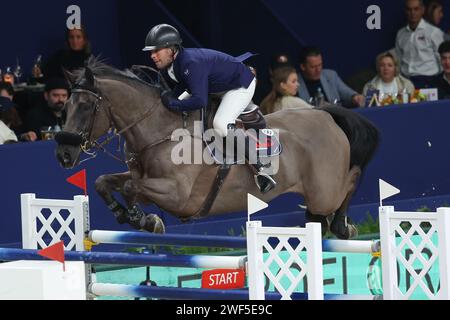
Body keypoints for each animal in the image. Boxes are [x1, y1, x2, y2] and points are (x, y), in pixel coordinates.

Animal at [56, 57, 380, 239]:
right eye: (64, 107)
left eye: (85, 107)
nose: (63, 156)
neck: (158, 130)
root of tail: (325, 114)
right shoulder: (141, 177)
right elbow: (103, 182)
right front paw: (129, 216)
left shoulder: (177, 194)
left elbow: (130, 189)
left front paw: (144, 219)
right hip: (319, 193)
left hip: (325, 190)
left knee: (350, 180)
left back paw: (343, 225)